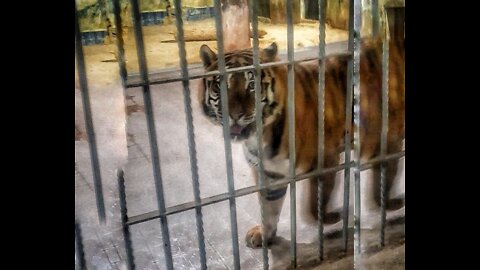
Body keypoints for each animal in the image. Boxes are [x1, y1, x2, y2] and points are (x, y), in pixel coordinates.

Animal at [197, 35, 404, 249]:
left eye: (252, 85)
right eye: (221, 86)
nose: (235, 115)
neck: (260, 136)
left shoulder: (327, 159)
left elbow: (312, 208)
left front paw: (335, 216)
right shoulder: (270, 173)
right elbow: (269, 209)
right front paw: (264, 234)